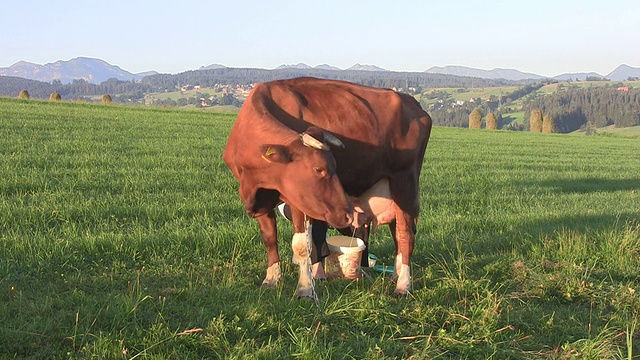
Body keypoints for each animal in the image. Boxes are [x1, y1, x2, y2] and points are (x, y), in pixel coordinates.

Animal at [222, 77, 432, 296]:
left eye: (334, 167)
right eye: (319, 169)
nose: (347, 214)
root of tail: (414, 104)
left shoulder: (298, 201)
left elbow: (301, 245)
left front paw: (305, 288)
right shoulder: (261, 198)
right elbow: (270, 238)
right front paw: (271, 278)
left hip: (405, 181)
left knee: (406, 234)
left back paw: (403, 285)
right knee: (397, 231)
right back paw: (395, 276)